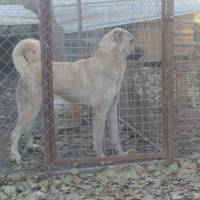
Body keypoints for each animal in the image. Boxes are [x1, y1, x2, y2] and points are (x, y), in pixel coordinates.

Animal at [10, 28, 134, 163]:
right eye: (132, 41)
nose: (142, 51)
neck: (108, 60)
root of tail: (28, 67)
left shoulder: (112, 110)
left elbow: (115, 137)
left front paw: (121, 154)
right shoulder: (100, 113)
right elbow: (98, 140)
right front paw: (101, 158)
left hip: (35, 110)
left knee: (27, 129)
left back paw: (31, 146)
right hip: (30, 110)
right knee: (15, 133)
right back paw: (15, 156)